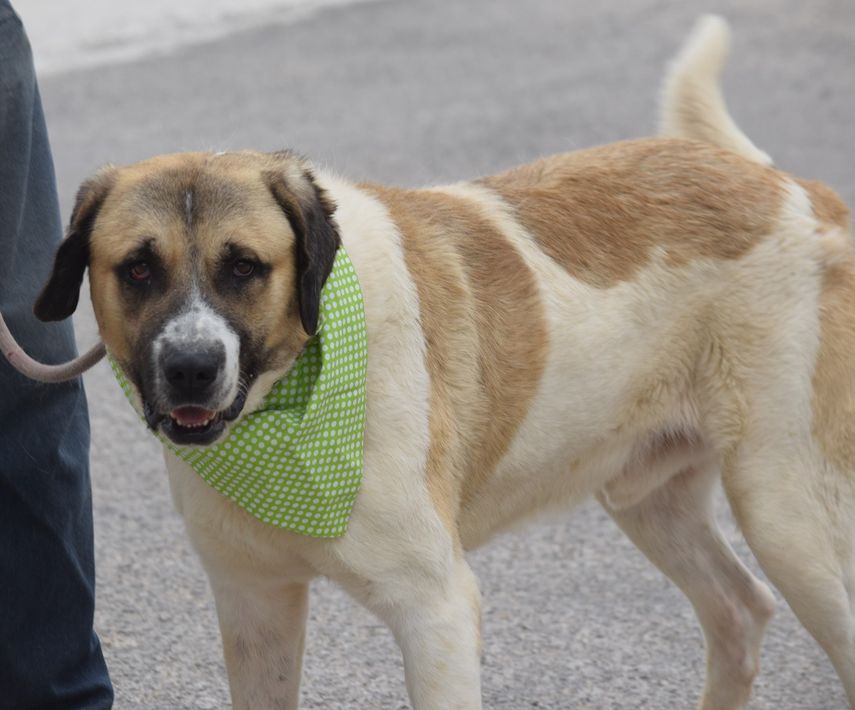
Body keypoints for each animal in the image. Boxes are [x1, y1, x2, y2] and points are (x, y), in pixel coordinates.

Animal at [27, 15, 854, 710]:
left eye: (244, 268)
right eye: (138, 269)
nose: (192, 367)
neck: (292, 404)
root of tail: (791, 187)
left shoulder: (437, 611)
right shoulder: (254, 605)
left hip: (784, 509)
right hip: (648, 496)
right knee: (739, 609)